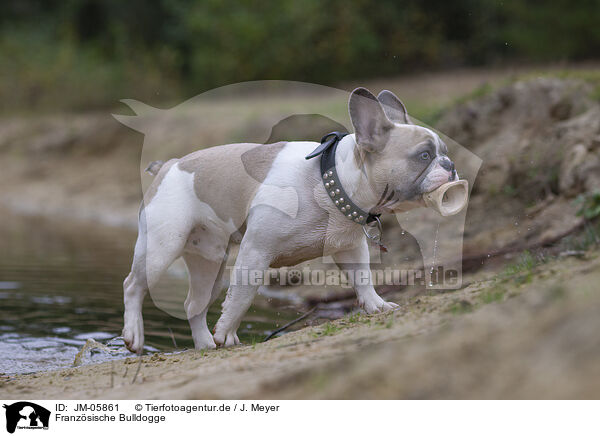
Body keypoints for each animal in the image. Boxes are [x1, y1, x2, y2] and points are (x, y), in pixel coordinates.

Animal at [124, 87, 458, 352]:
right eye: (424, 156)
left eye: (444, 151)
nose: (451, 165)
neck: (329, 179)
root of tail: (168, 164)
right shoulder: (255, 252)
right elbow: (242, 296)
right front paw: (227, 332)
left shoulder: (350, 248)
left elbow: (363, 278)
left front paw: (376, 305)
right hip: (162, 247)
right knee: (133, 286)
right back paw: (135, 335)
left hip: (210, 261)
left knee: (194, 304)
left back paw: (205, 344)